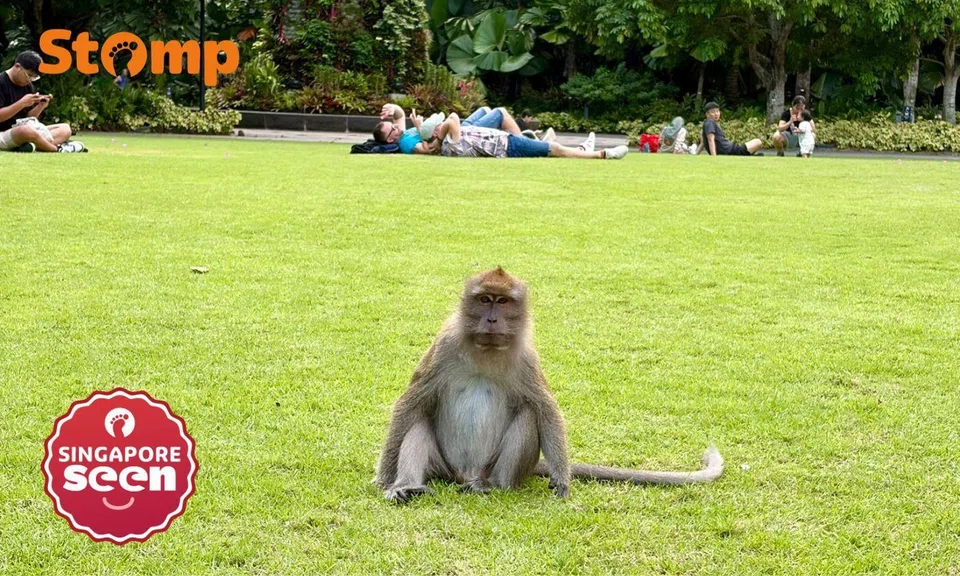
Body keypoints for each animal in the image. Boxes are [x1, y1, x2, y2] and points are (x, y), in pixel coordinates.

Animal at [373, 267, 723, 503]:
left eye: (503, 302)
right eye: (485, 299)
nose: (491, 319)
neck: (485, 352)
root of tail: (466, 473)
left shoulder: (527, 359)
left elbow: (545, 408)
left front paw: (562, 479)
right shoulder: (444, 346)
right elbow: (410, 402)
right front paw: (385, 479)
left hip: (494, 467)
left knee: (529, 416)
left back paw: (493, 485)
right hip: (443, 467)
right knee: (418, 422)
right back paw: (406, 487)